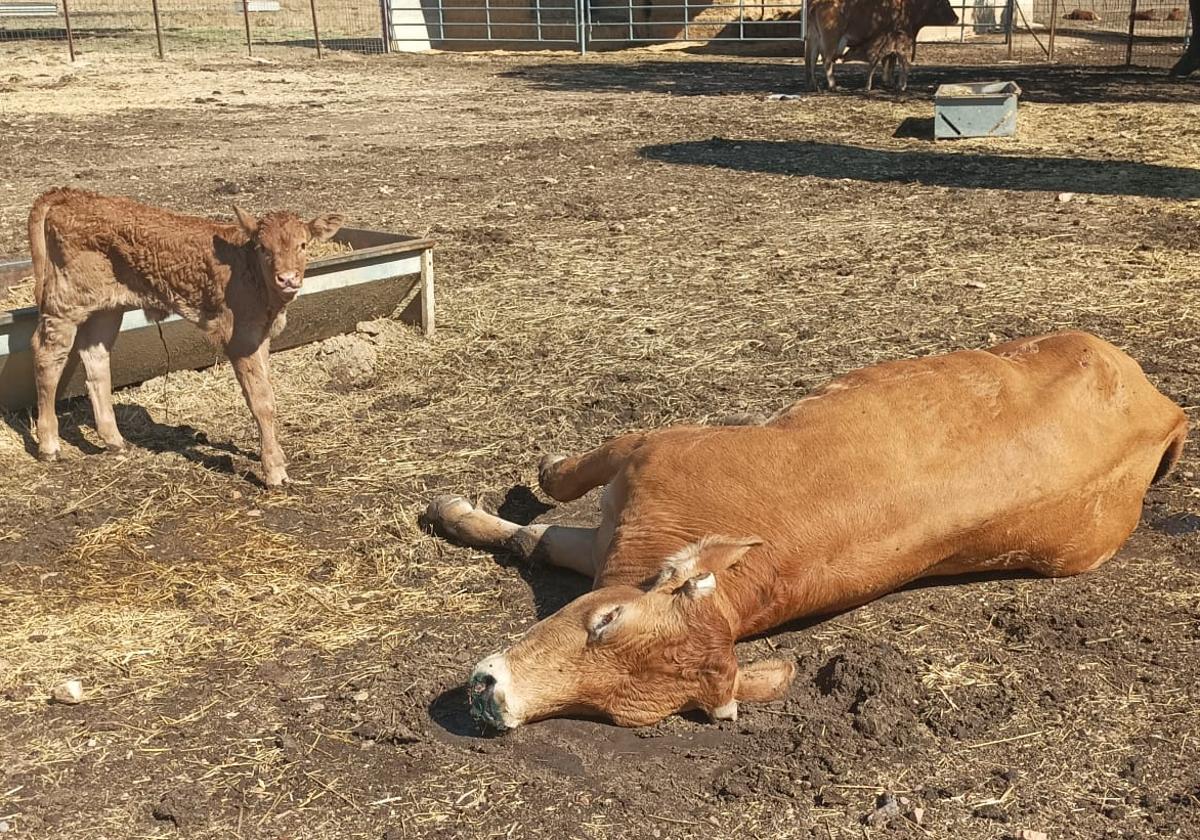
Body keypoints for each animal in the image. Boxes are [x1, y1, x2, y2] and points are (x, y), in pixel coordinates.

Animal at [28, 183, 345, 484]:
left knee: (95, 356)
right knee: (48, 356)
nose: (288, 278)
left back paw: (115, 440)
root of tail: (67, 194)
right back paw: (49, 445)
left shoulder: (261, 337)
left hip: (107, 307)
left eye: (303, 244)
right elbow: (262, 401)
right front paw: (274, 471)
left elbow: (268, 391)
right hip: (65, 300)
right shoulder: (240, 339)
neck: (250, 272)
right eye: (263, 248)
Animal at [427, 333, 1185, 729]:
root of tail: (1163, 408)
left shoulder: (649, 459)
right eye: (604, 620)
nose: (492, 698)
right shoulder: (651, 449)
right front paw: (495, 493)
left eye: (615, 716)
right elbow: (555, 501)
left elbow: (545, 528)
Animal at [806, 0, 955, 90]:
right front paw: (889, 81)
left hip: (814, 38)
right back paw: (833, 86)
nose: (956, 18)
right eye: (945, 3)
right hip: (831, 38)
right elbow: (890, 61)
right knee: (826, 60)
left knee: (811, 60)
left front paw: (888, 81)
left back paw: (814, 85)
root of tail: (818, 3)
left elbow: (888, 60)